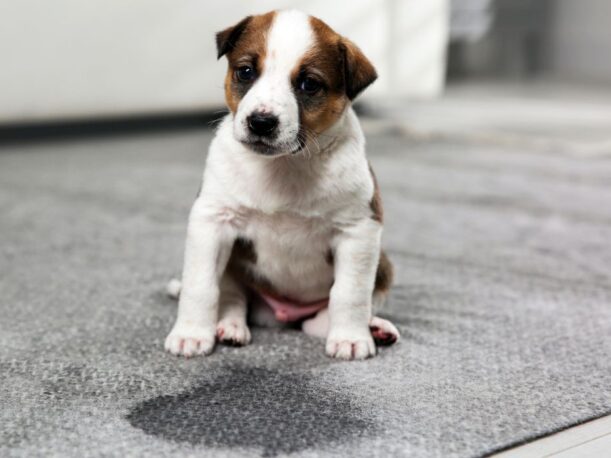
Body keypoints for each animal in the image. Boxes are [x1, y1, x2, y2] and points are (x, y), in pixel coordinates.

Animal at [165, 8, 400, 360]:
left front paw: (350, 338)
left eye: (309, 84)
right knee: (232, 296)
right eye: (246, 71)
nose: (261, 122)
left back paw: (375, 328)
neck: (284, 165)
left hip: (382, 265)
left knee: (322, 318)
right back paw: (230, 326)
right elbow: (201, 285)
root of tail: (281, 313)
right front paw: (191, 334)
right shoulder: (212, 221)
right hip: (234, 264)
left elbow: (350, 293)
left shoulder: (359, 230)